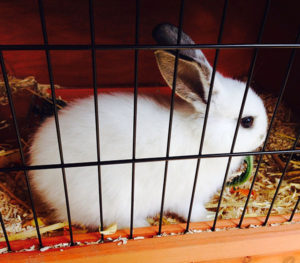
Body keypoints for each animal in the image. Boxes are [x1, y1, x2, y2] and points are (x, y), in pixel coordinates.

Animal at [28, 23, 268, 230]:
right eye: (247, 121)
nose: (263, 136)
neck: (203, 136)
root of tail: (38, 176)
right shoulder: (187, 193)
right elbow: (190, 210)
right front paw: (207, 217)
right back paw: (142, 225)